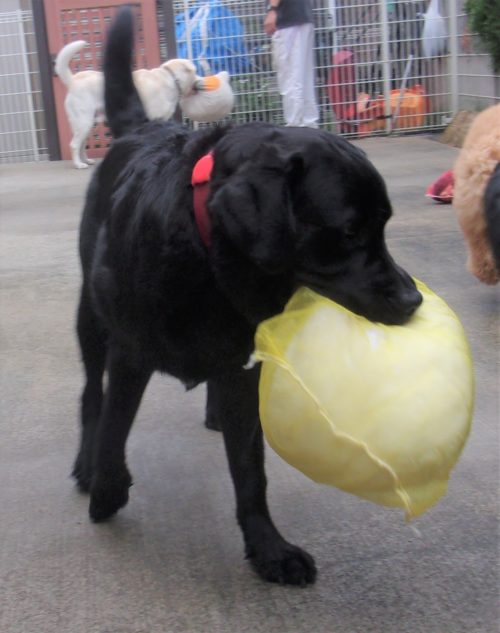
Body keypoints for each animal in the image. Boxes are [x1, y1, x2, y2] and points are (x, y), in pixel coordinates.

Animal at [55, 39, 205, 169]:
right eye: (195, 71)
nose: (202, 81)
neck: (171, 78)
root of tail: (73, 80)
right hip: (83, 122)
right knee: (74, 145)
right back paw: (78, 164)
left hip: (88, 124)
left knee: (82, 144)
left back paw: (85, 161)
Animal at [74, 7, 422, 586]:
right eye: (350, 231)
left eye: (384, 226)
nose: (413, 299)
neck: (205, 259)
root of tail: (144, 128)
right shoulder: (129, 355)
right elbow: (115, 427)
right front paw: (107, 487)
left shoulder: (242, 368)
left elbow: (250, 471)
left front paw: (268, 548)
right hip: (90, 320)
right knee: (91, 400)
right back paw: (86, 466)